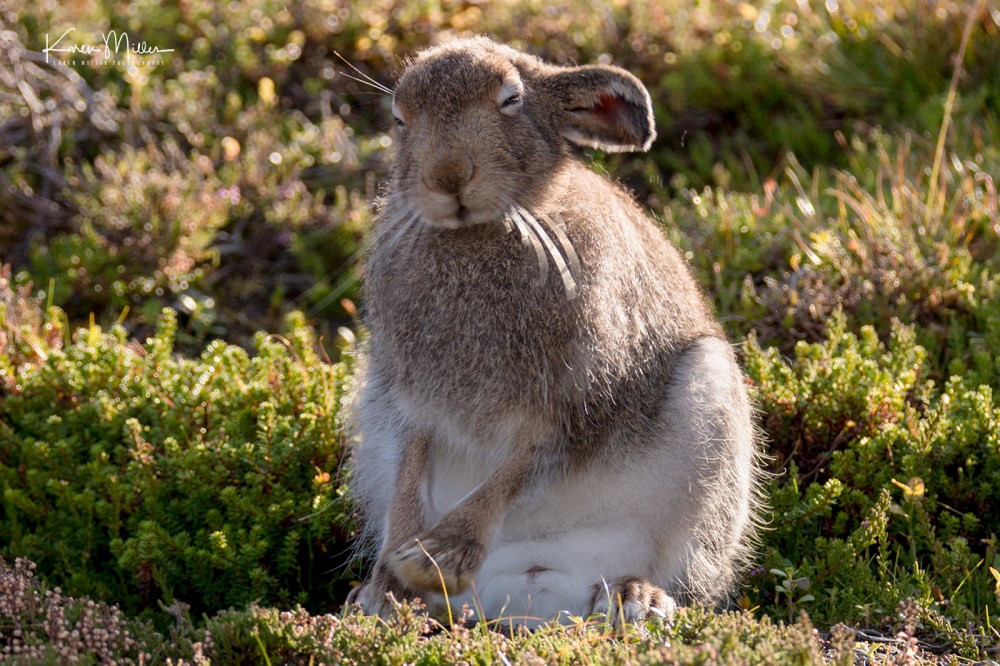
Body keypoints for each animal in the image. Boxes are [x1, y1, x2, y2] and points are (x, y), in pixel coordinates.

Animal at [348, 35, 763, 627]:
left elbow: (520, 468)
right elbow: (411, 469)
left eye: (511, 99)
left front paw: (437, 558)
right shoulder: (408, 399)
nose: (447, 176)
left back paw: (634, 598)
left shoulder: (578, 399)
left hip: (711, 408)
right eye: (399, 118)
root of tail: (532, 586)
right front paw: (400, 574)